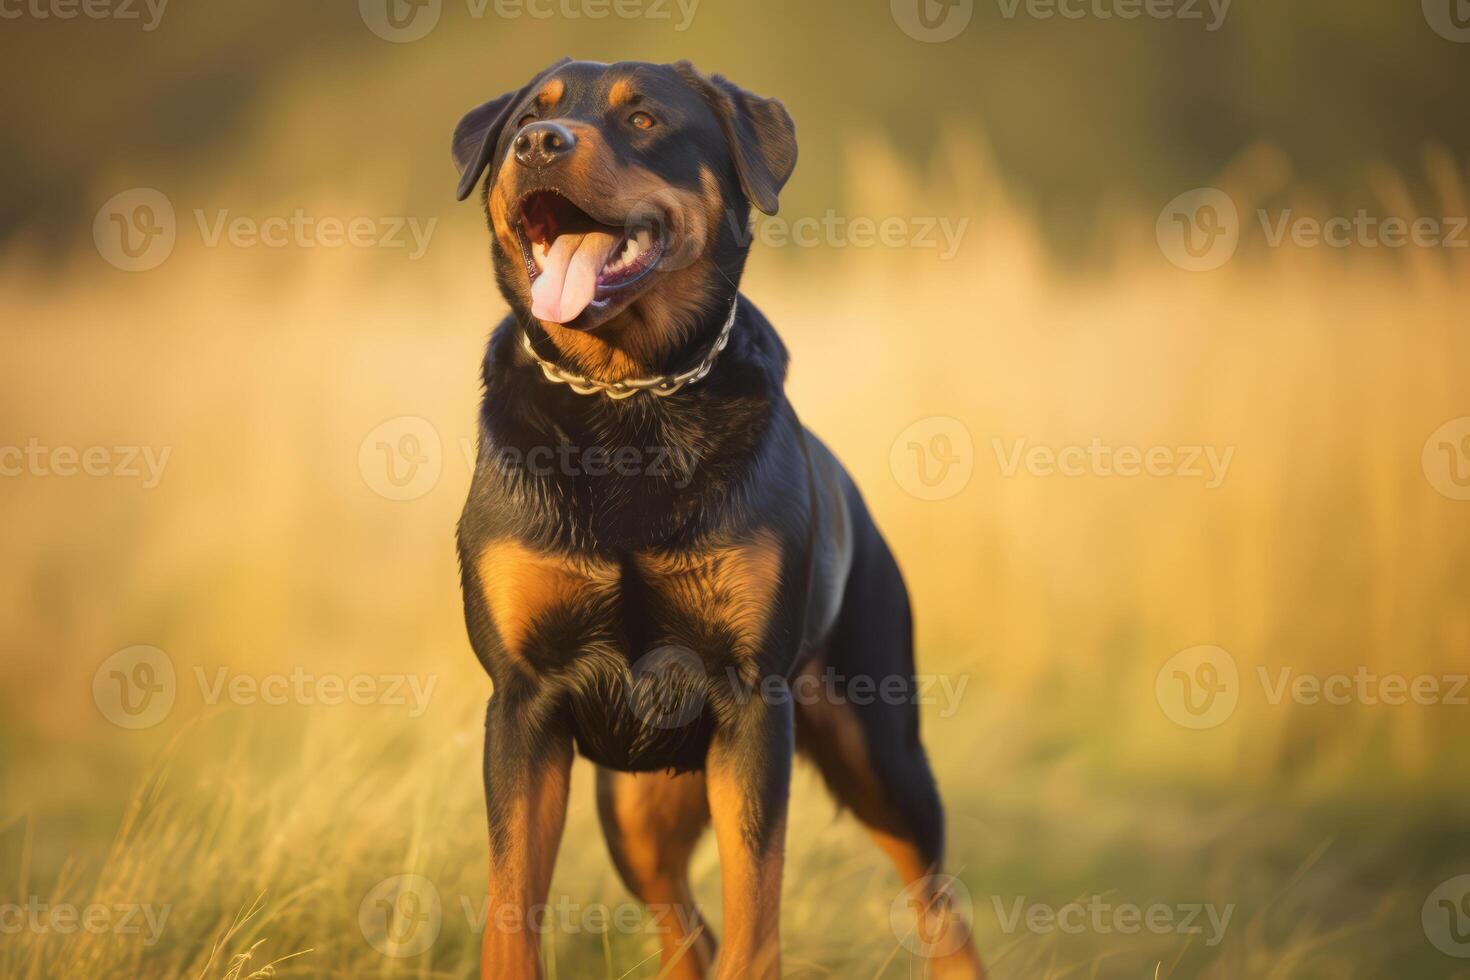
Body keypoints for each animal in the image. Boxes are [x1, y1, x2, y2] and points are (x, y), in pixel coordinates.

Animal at [449, 57, 987, 975]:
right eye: (525, 119)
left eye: (643, 119)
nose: (540, 144)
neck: (626, 394)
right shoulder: (523, 699)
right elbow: (510, 908)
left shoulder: (748, 699)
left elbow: (754, 907)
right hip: (635, 803)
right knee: (683, 924)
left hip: (881, 750)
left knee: (940, 903)